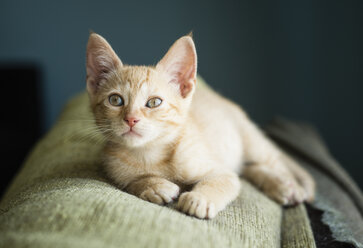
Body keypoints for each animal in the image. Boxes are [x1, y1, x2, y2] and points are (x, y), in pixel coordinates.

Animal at [86, 31, 316, 219]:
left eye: (154, 102)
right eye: (115, 100)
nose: (131, 119)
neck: (149, 154)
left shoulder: (220, 170)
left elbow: (222, 181)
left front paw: (200, 199)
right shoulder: (114, 167)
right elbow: (131, 180)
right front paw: (152, 185)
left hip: (250, 143)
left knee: (273, 162)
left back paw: (286, 186)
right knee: (249, 169)